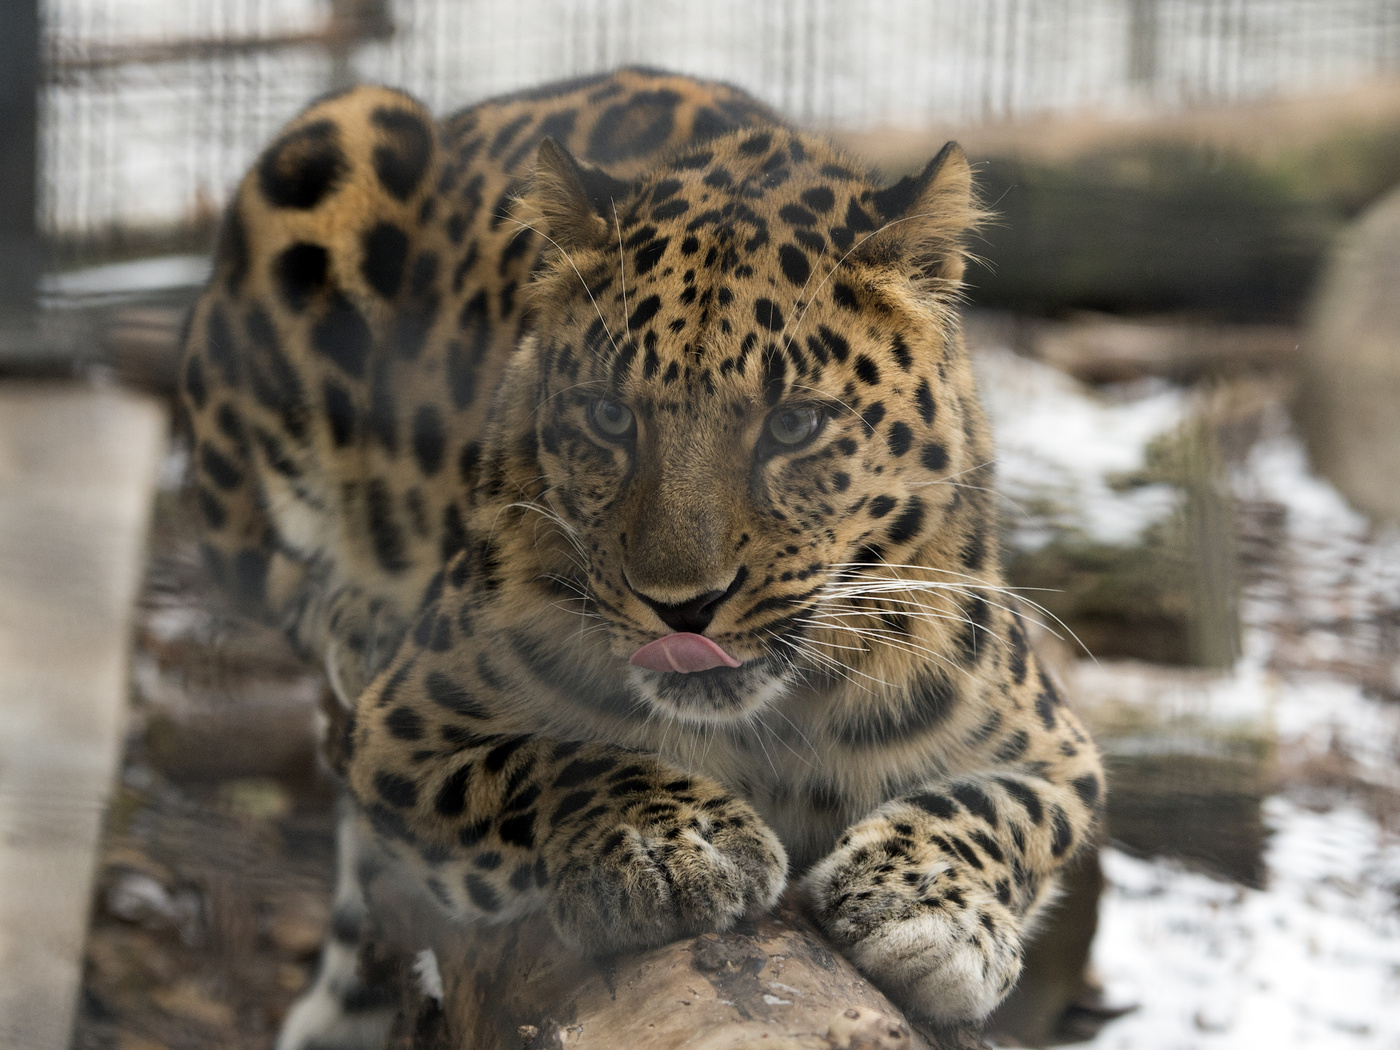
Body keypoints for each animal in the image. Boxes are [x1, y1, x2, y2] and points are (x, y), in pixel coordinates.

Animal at [180, 67, 1103, 1050]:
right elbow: (550, 759)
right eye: (610, 416)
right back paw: (354, 618)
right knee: (257, 571)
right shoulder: (407, 725)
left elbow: (996, 810)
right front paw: (670, 844)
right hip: (330, 150)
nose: (681, 607)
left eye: (794, 425)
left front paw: (930, 909)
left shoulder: (1056, 750)